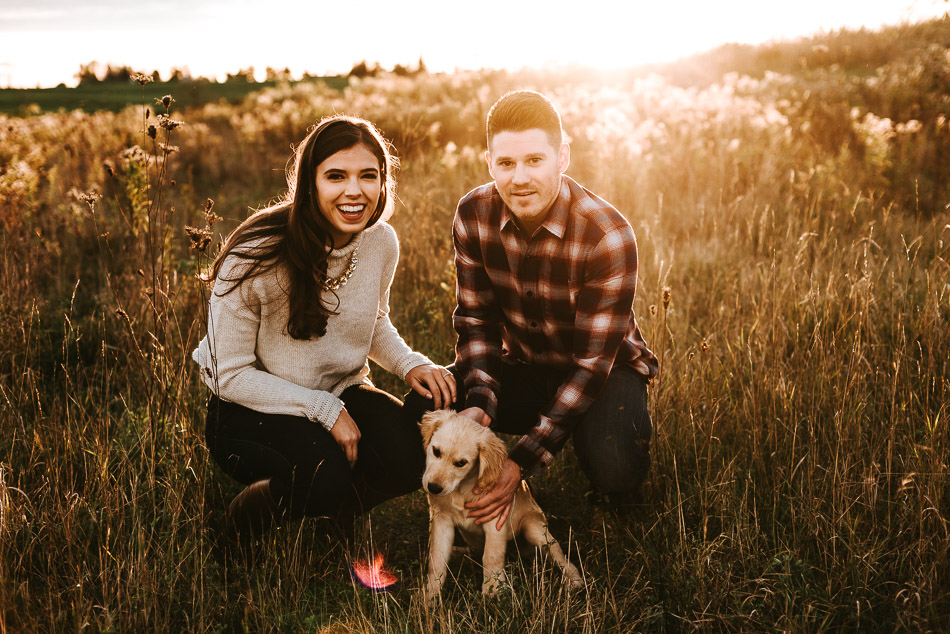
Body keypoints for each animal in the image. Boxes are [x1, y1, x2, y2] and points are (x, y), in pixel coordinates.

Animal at [420, 408, 584, 600]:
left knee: (559, 556)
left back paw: (574, 581)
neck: (461, 489)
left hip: (534, 529)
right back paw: (458, 552)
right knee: (475, 551)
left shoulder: (494, 518)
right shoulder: (441, 519)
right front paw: (429, 596)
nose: (433, 487)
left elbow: (492, 555)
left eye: (461, 463)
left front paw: (493, 590)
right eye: (436, 451)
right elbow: (436, 559)